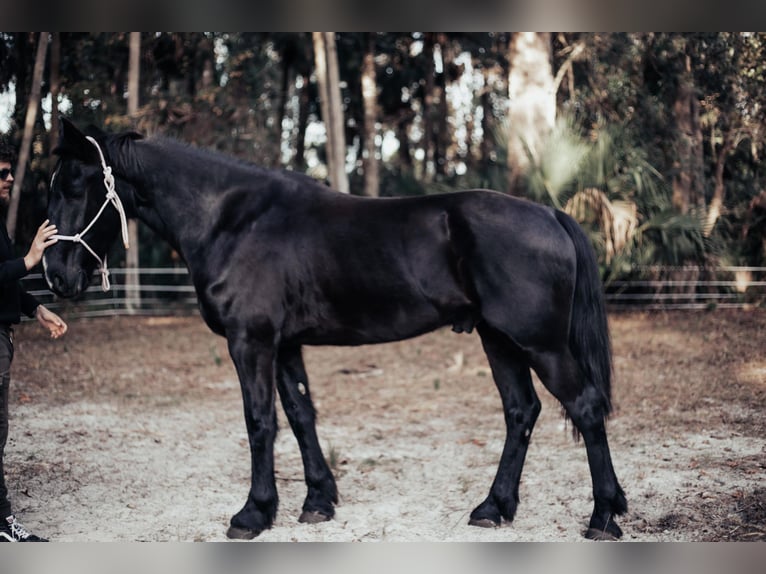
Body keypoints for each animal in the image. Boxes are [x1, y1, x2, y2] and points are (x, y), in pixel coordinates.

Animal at [43, 119, 632, 544]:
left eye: (75, 185)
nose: (54, 275)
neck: (232, 218)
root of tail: (550, 214)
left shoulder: (251, 341)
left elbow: (259, 422)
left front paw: (253, 513)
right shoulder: (284, 345)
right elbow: (301, 415)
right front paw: (317, 501)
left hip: (539, 343)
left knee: (584, 407)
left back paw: (603, 516)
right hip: (499, 339)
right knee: (521, 412)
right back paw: (494, 507)